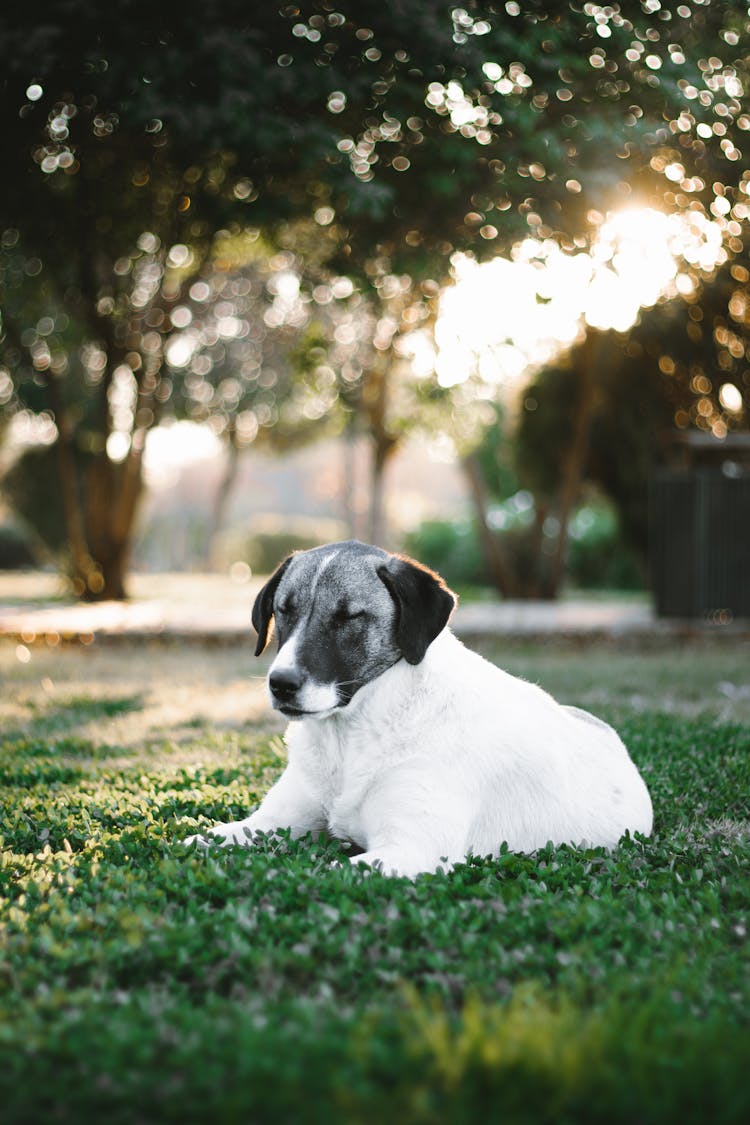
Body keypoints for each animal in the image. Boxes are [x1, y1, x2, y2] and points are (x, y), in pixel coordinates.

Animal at [191, 540, 652, 873]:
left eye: (348, 617)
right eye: (283, 610)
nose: (281, 685)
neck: (356, 732)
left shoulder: (410, 850)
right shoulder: (273, 824)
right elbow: (212, 837)